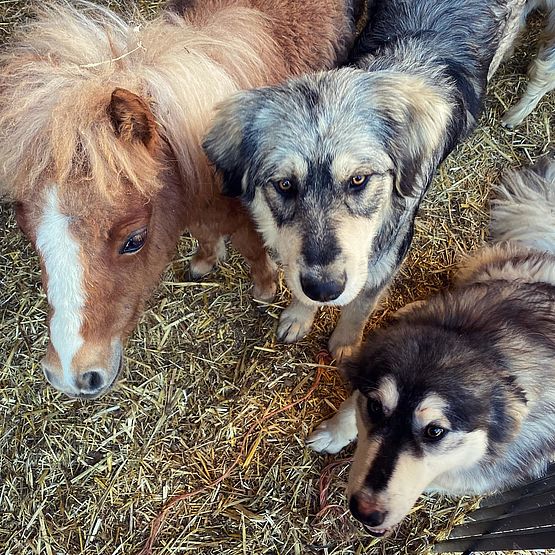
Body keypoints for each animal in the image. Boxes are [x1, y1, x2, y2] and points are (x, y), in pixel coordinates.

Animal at [203, 0, 534, 360]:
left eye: (358, 179)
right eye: (285, 185)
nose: (324, 289)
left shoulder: (388, 255)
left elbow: (360, 304)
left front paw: (346, 345)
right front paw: (300, 315)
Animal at [307, 153, 555, 537]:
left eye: (435, 431)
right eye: (376, 408)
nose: (364, 513)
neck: (486, 347)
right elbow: (351, 405)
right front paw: (334, 433)